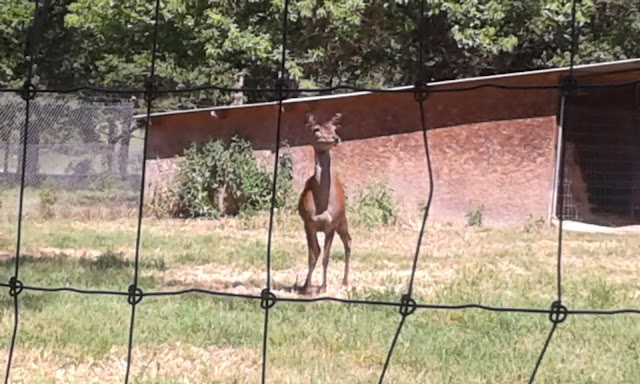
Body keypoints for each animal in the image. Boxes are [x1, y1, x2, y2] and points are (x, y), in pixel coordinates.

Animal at [298, 112, 352, 296]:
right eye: (316, 129)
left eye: (335, 128)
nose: (335, 138)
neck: (321, 206)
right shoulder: (308, 223)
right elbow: (313, 254)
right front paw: (305, 287)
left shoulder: (331, 225)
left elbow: (326, 257)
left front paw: (323, 287)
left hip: (342, 219)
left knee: (348, 242)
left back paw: (345, 282)